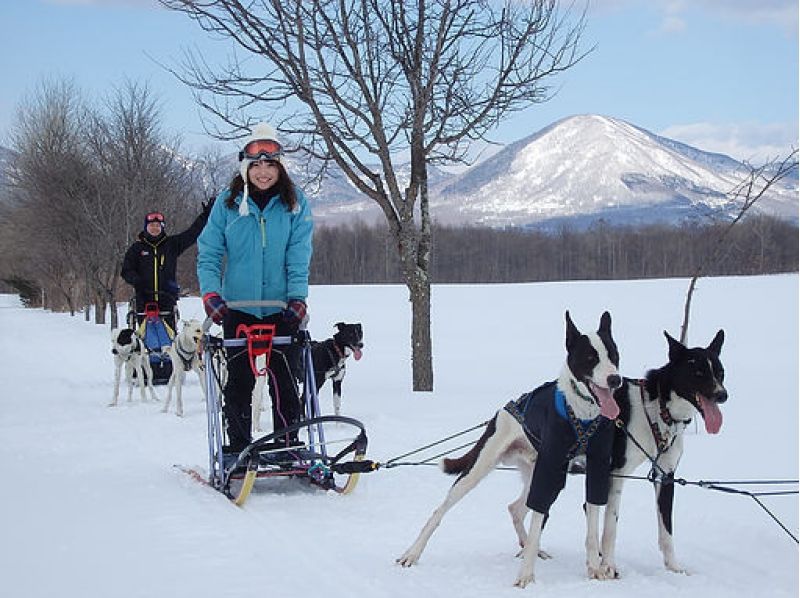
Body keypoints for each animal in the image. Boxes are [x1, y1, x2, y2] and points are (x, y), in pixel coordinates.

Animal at [396, 314, 620, 592]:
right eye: (590, 357)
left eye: (613, 355)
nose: (615, 379)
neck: (582, 413)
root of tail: (501, 411)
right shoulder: (550, 467)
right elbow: (538, 520)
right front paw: (526, 576)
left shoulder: (597, 466)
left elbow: (591, 523)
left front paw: (594, 568)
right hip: (482, 470)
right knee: (439, 512)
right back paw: (412, 553)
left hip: (545, 476)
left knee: (516, 509)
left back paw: (531, 548)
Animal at [596, 330, 728, 580]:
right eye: (698, 372)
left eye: (720, 372)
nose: (722, 395)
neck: (658, 411)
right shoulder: (617, 473)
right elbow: (611, 524)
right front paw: (607, 566)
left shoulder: (666, 476)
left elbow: (666, 529)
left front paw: (674, 567)